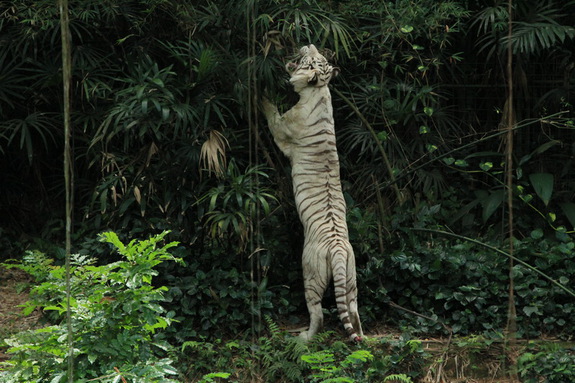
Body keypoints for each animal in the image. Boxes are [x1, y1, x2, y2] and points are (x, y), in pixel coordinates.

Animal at [262, 43, 362, 344]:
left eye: (311, 60)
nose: (310, 44)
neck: (319, 89)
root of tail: (339, 250)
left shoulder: (282, 128)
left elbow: (271, 112)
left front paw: (262, 94)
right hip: (351, 278)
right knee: (353, 309)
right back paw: (363, 337)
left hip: (311, 273)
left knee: (317, 312)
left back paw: (303, 338)